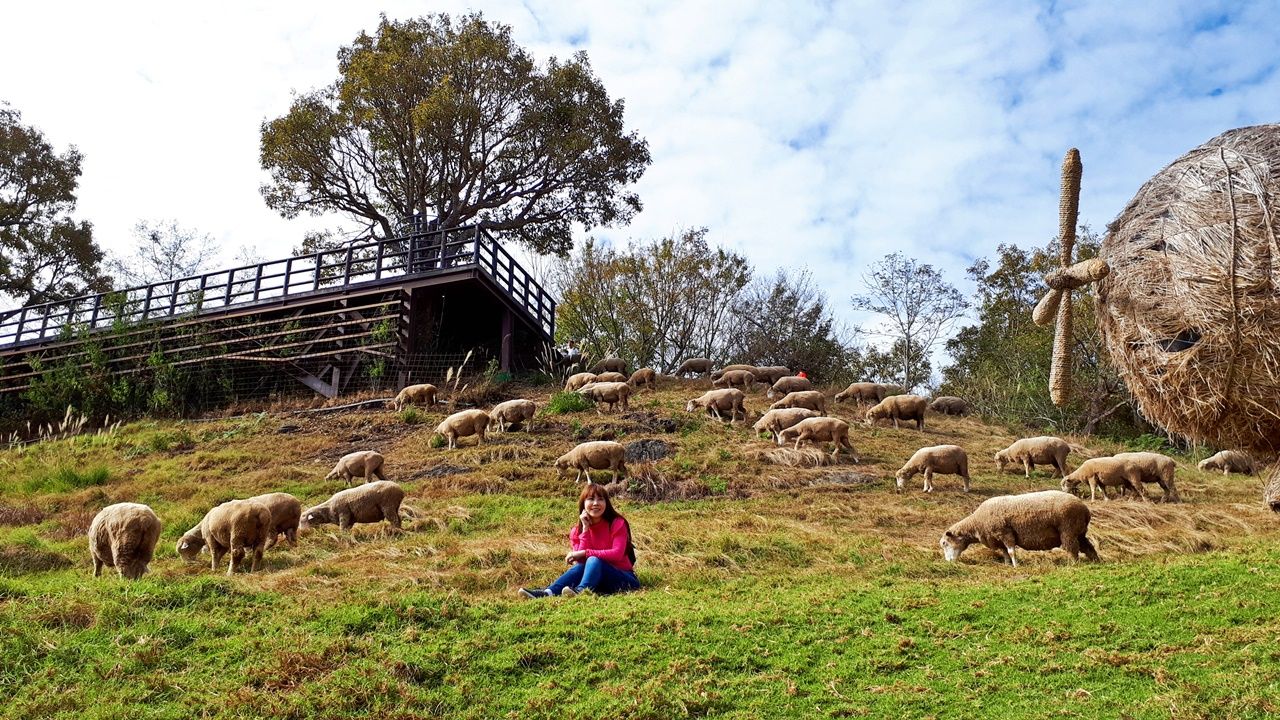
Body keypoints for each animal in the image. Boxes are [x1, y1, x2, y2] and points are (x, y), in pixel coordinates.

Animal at [942, 486, 1100, 566]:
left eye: (944, 543)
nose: (948, 562)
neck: (977, 523)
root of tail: (1085, 510)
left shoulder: (1005, 533)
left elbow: (1011, 551)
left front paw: (1015, 565)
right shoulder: (998, 539)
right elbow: (1005, 552)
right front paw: (1007, 564)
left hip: (1068, 529)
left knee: (1072, 548)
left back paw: (1073, 564)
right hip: (1079, 531)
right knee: (1088, 547)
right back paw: (1096, 561)